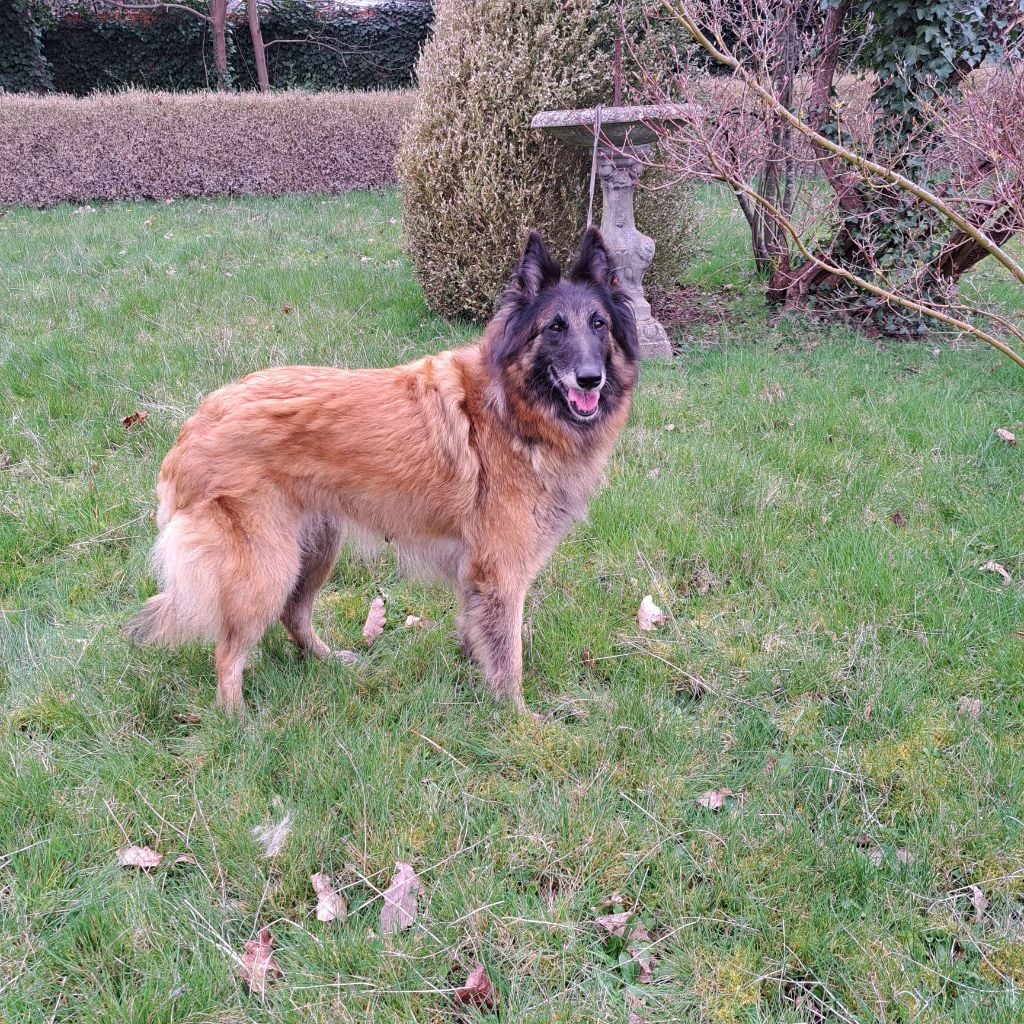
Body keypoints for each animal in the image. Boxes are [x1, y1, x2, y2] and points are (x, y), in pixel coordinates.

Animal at [127, 226, 640, 716]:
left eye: (599, 324)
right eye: (553, 328)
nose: (590, 378)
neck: (512, 408)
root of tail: (192, 428)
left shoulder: (476, 577)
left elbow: (477, 636)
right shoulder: (502, 574)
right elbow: (508, 657)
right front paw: (517, 718)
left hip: (316, 549)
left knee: (294, 616)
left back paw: (331, 663)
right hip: (268, 567)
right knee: (228, 651)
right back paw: (238, 723)